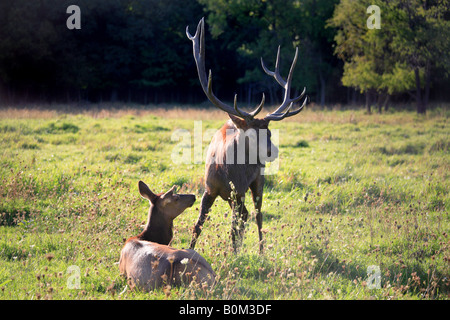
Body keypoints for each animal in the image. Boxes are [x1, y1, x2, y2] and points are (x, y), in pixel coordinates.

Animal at [185, 18, 308, 252]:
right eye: (250, 134)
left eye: (269, 131)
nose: (272, 151)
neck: (224, 171)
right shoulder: (209, 188)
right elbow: (198, 225)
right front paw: (188, 250)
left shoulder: (239, 190)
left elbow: (235, 227)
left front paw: (234, 253)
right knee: (245, 216)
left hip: (257, 181)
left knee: (256, 215)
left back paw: (260, 250)